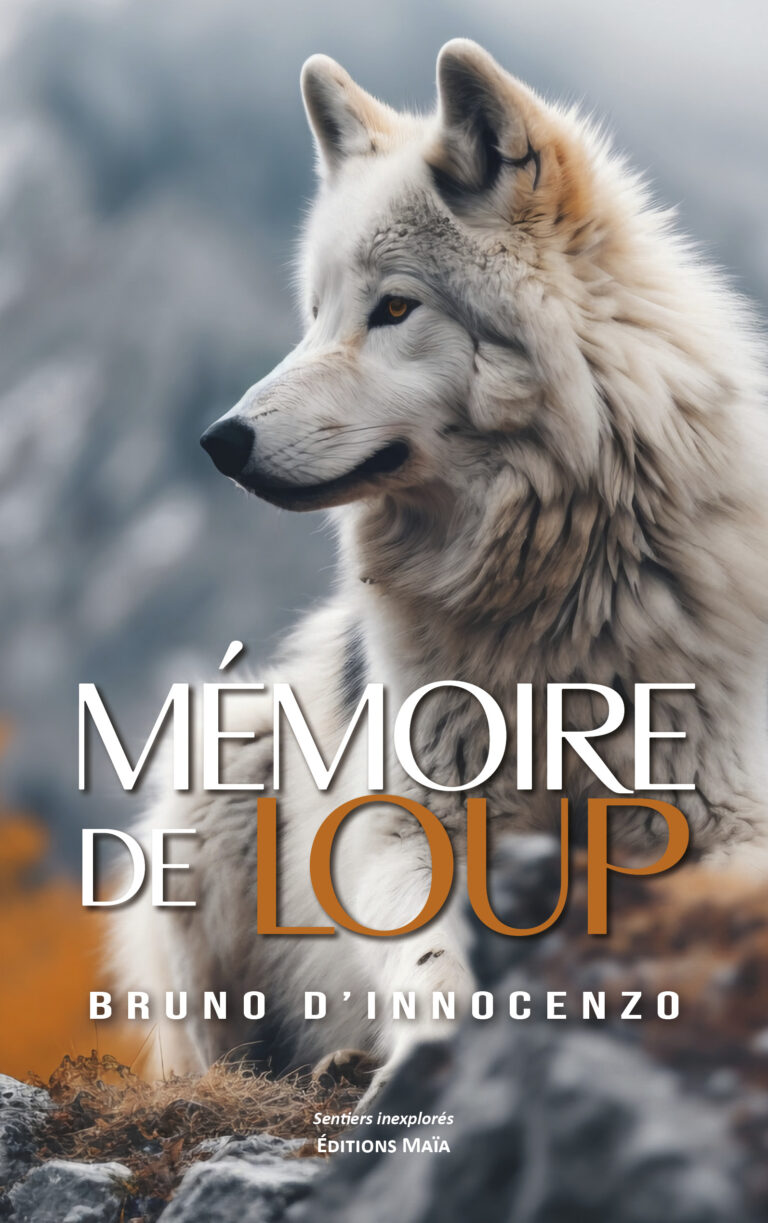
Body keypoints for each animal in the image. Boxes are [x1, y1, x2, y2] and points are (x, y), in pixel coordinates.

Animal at [114, 40, 768, 1099]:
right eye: (314, 314)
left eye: (393, 308)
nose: (219, 440)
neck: (555, 594)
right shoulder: (403, 826)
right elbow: (431, 955)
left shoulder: (729, 824)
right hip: (228, 758)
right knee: (224, 1055)